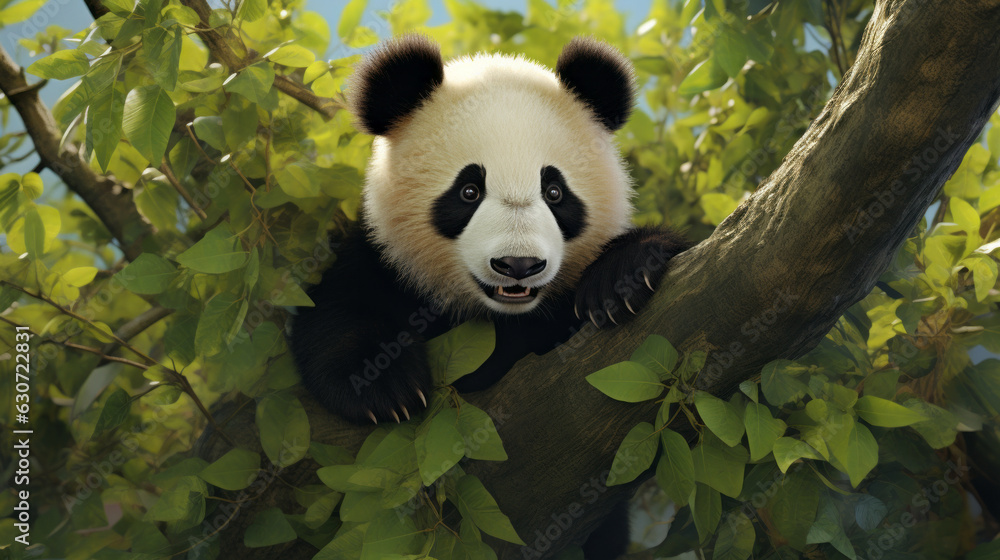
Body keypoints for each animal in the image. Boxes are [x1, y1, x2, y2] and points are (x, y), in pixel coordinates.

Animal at [290, 34, 688, 424]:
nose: (518, 265)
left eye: (554, 192)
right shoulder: (383, 257)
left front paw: (620, 276)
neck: (500, 316)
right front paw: (384, 383)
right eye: (469, 191)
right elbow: (336, 312)